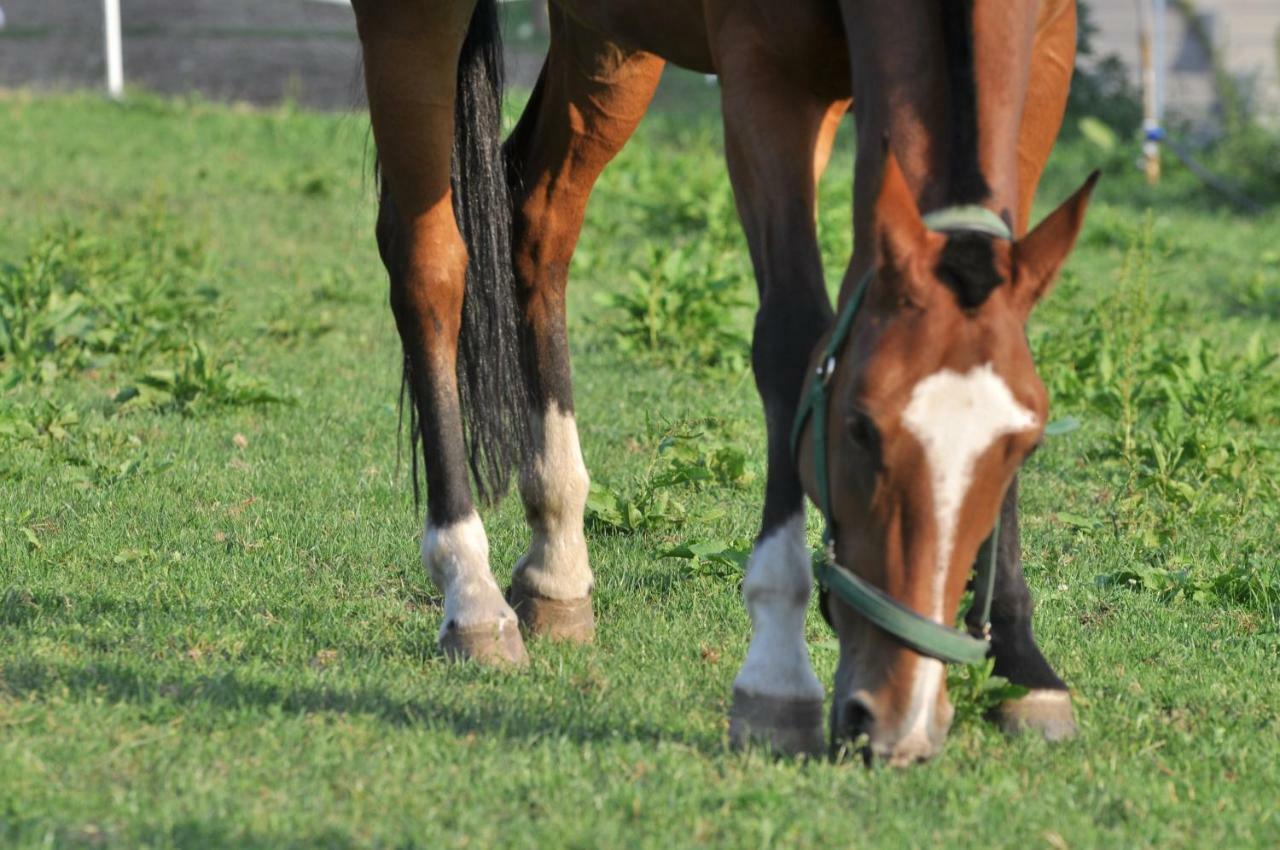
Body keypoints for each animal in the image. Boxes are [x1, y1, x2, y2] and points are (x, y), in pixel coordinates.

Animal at [355, 0, 1095, 768]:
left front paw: (1021, 664)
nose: (899, 720)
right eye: (860, 428)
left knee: (538, 219)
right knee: (430, 266)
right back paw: (469, 592)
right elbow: (791, 340)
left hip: (611, 46)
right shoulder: (769, 73)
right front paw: (777, 676)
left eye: (1025, 445)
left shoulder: (1046, 56)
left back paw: (557, 562)